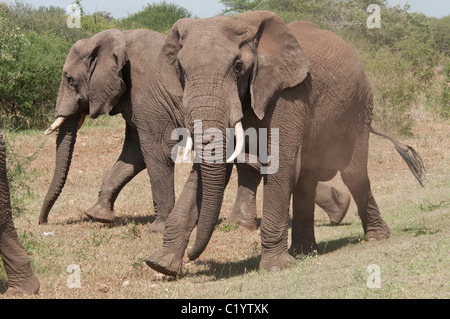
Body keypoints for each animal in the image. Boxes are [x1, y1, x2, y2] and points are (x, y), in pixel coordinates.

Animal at [37, 27, 352, 231]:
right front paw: (97, 216)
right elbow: (133, 156)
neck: (114, 39)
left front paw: (158, 228)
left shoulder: (145, 94)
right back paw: (341, 210)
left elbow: (154, 153)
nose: (43, 222)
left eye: (69, 79)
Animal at [145, 11, 426, 276]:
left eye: (238, 66)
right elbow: (209, 172)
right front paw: (161, 264)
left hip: (360, 106)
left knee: (352, 173)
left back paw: (376, 236)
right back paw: (305, 251)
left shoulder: (289, 93)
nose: (194, 256)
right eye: (181, 69)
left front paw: (276, 267)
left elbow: (280, 165)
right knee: (307, 178)